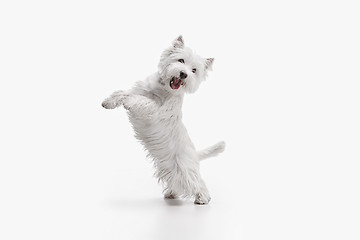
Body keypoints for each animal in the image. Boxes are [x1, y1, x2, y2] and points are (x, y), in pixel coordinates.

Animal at [102, 35, 225, 204]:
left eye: (194, 70)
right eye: (181, 60)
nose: (184, 74)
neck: (163, 88)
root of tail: (195, 154)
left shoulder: (156, 110)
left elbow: (140, 100)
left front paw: (127, 102)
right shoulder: (140, 90)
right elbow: (123, 92)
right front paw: (109, 102)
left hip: (184, 168)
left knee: (197, 182)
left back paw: (203, 198)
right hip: (169, 167)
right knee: (176, 181)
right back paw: (171, 194)